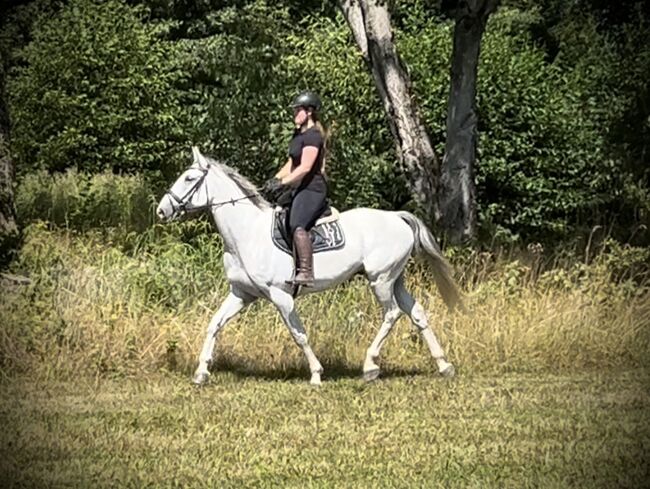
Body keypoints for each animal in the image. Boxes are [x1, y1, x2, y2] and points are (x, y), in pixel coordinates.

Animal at [157, 147, 460, 384]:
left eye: (190, 178)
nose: (162, 210)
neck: (246, 233)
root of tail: (397, 217)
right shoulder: (242, 294)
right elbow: (214, 324)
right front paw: (201, 372)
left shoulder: (280, 296)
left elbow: (298, 334)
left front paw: (315, 374)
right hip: (395, 279)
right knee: (416, 313)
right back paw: (443, 365)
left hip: (381, 279)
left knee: (392, 313)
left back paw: (370, 366)